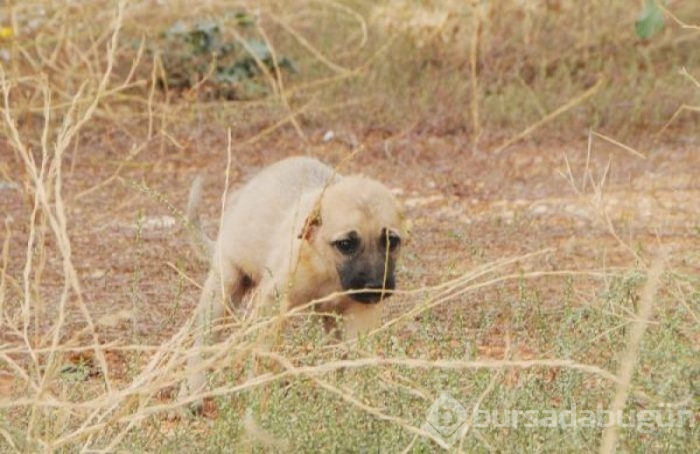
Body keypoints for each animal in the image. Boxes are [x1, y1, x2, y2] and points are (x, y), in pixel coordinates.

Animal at [178, 156, 402, 408]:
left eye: (392, 241)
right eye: (346, 244)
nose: (376, 286)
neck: (327, 266)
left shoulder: (358, 313)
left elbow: (355, 360)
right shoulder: (272, 306)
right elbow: (263, 356)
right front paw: (258, 398)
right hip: (225, 286)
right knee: (202, 342)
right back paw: (190, 394)